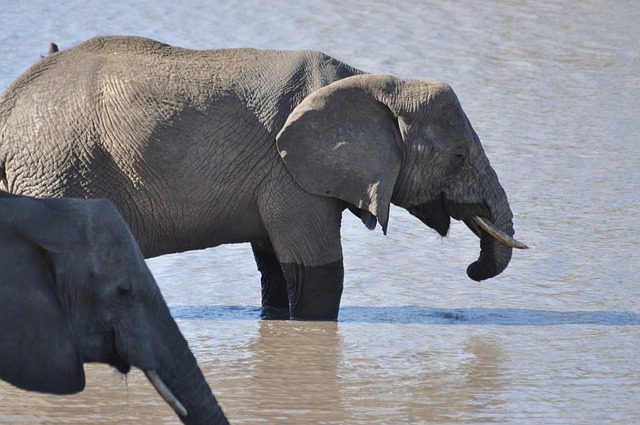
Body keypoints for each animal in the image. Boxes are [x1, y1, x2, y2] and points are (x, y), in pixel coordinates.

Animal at [0, 36, 528, 320]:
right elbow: (317, 270)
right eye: (458, 156)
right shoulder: (288, 174)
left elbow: (276, 268)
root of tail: (11, 100)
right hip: (59, 172)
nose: (471, 271)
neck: (374, 80)